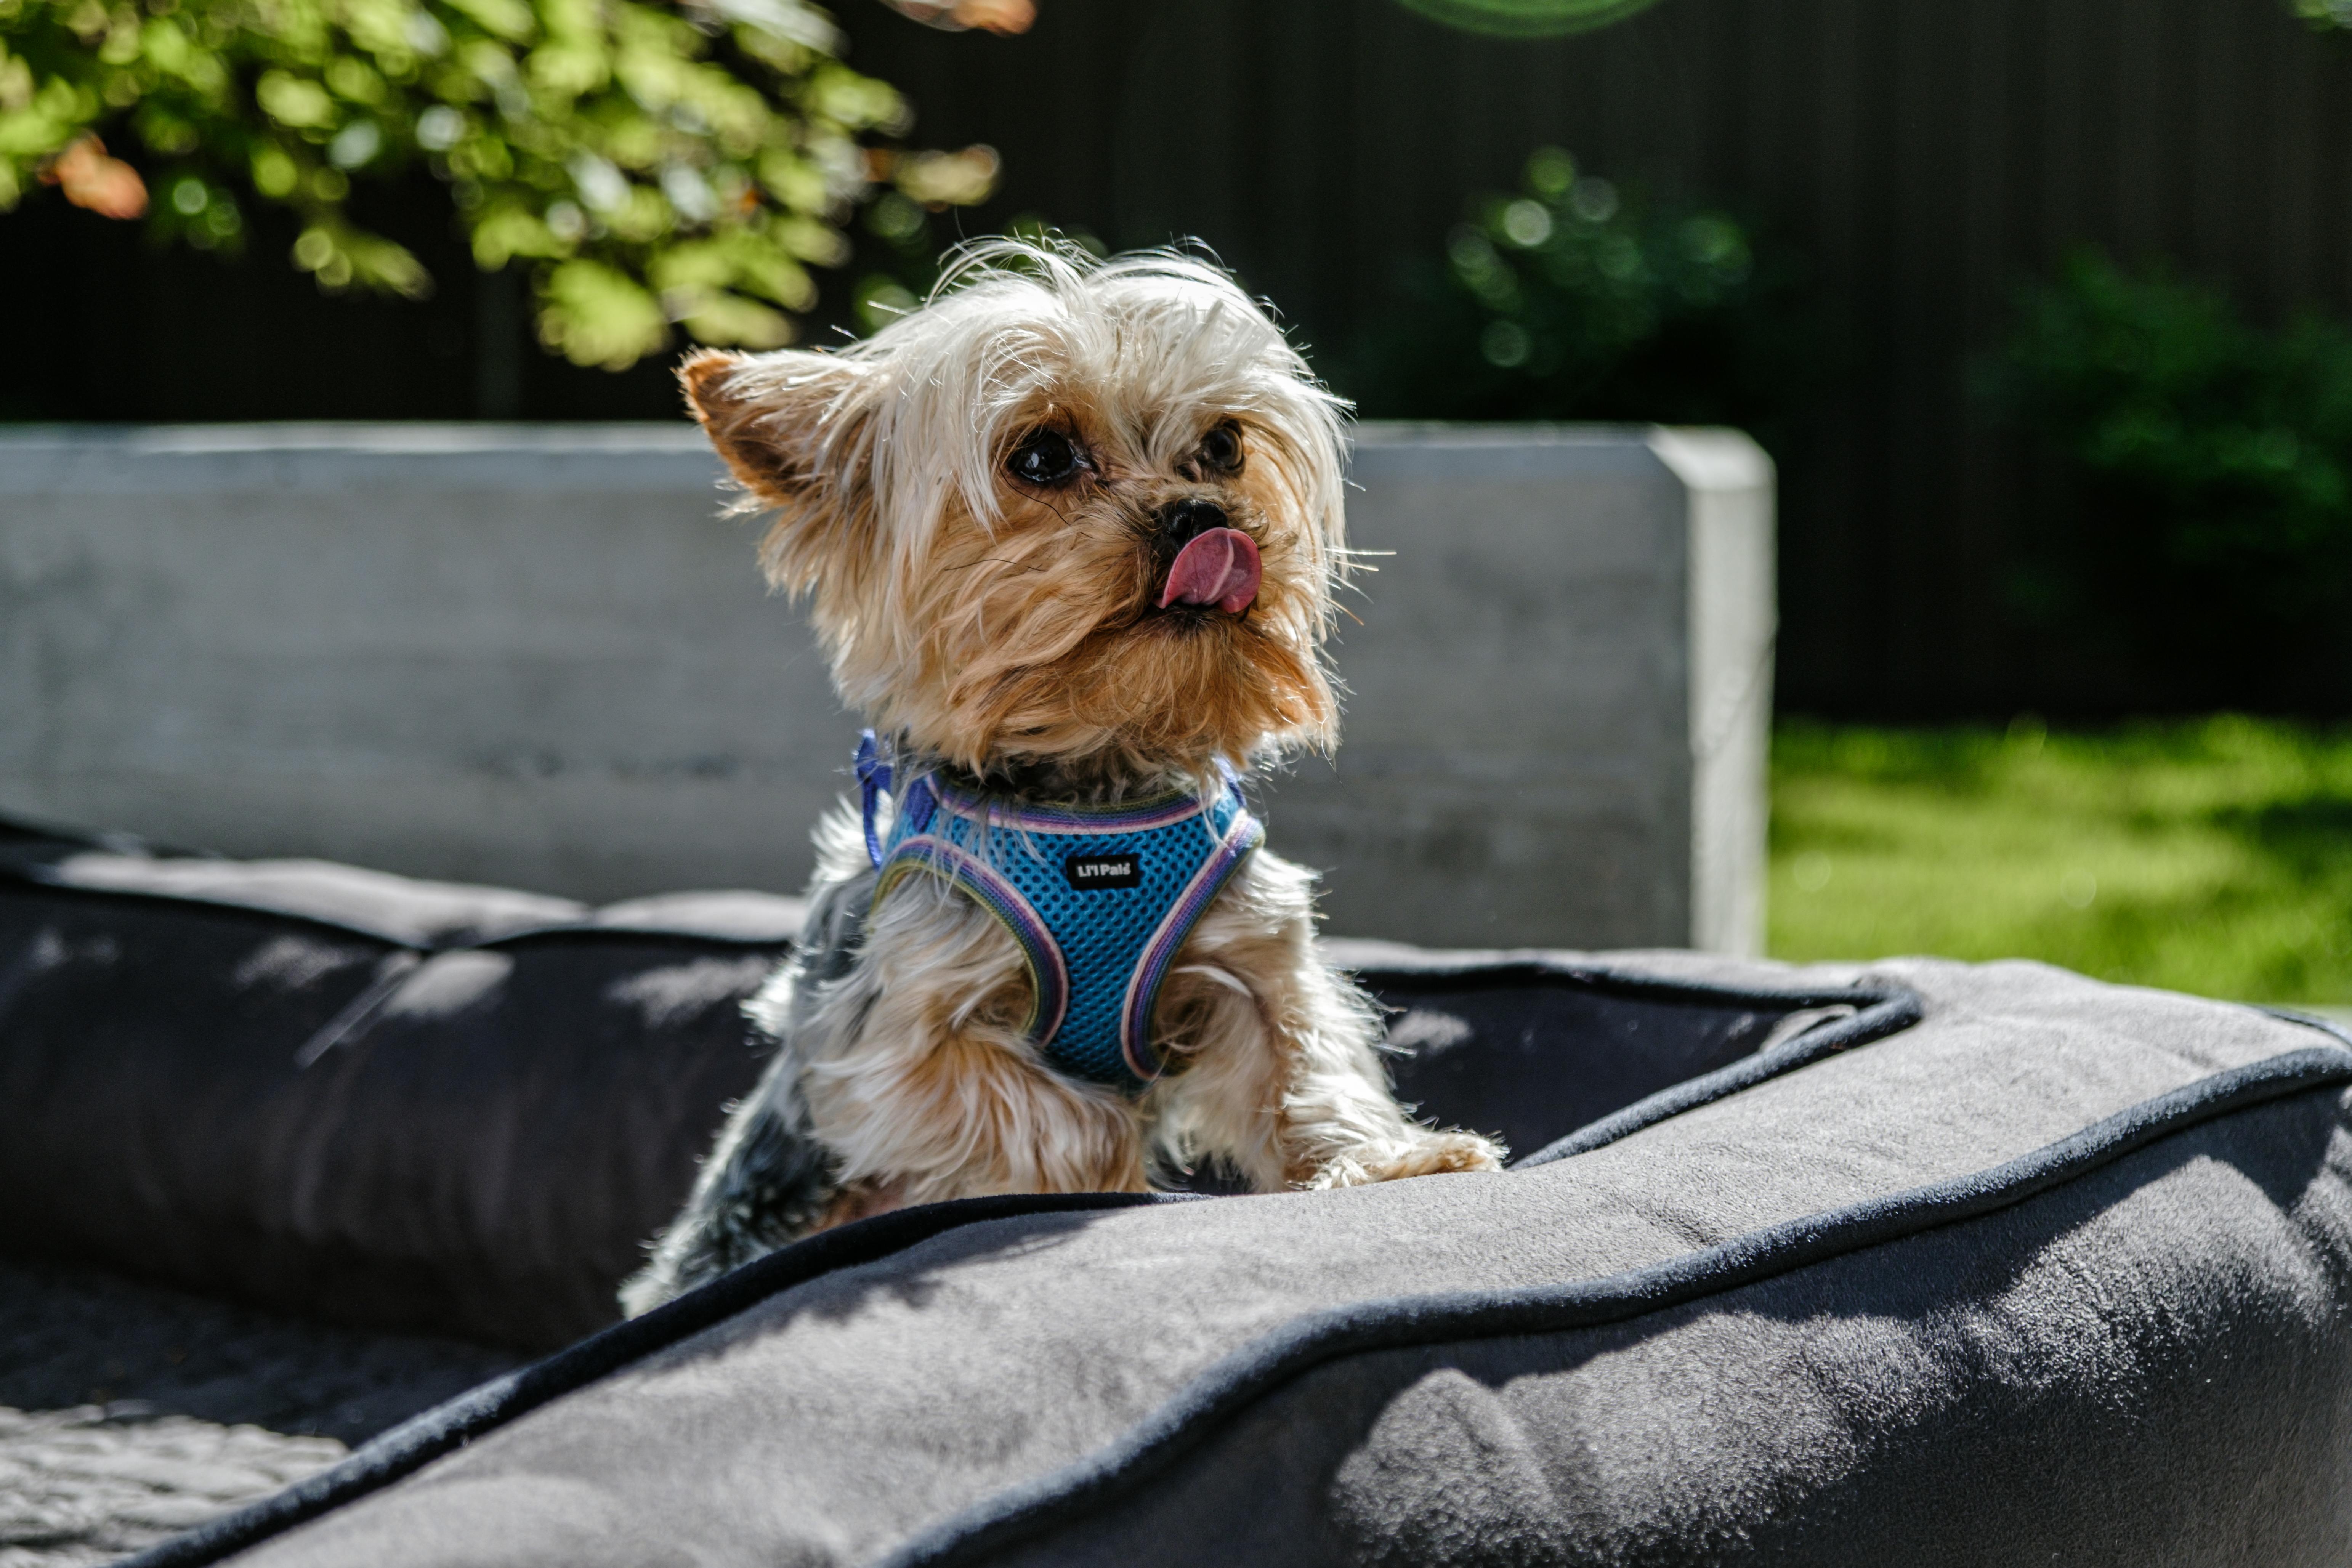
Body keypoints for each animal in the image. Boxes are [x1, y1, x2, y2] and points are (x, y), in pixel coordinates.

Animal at [621, 245, 1505, 1316]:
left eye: (1222, 445)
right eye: (1041, 457)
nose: (1204, 516)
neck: (1094, 786)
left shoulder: (1256, 957)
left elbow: (1308, 1061)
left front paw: (1386, 1163)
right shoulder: (891, 1046)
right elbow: (1067, 1114)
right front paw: (1116, 1177)